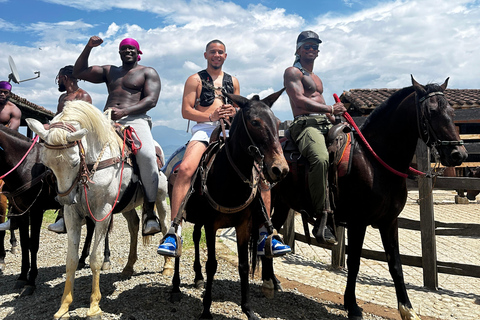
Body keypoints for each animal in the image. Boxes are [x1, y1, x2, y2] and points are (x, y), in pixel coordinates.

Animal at [26, 101, 171, 320]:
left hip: (161, 198)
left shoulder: (103, 212)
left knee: (165, 225)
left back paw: (167, 267)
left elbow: (95, 258)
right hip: (126, 206)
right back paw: (128, 267)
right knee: (134, 226)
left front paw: (94, 306)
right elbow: (71, 260)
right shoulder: (72, 215)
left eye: (74, 162)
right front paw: (63, 307)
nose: (65, 198)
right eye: (46, 163)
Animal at [170, 90, 288, 320]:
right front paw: (206, 310)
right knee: (177, 238)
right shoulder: (211, 225)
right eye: (255, 122)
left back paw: (197, 277)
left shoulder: (242, 225)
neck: (229, 177)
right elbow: (212, 264)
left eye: (278, 122)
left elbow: (243, 266)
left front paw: (247, 309)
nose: (280, 169)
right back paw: (176, 286)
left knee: (195, 237)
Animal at [264, 77, 466, 320]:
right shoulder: (357, 223)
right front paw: (351, 305)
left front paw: (407, 309)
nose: (459, 154)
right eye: (431, 111)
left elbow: (395, 265)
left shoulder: (389, 222)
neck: (375, 161)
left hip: (283, 205)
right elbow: (354, 262)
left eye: (452, 112)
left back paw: (272, 281)